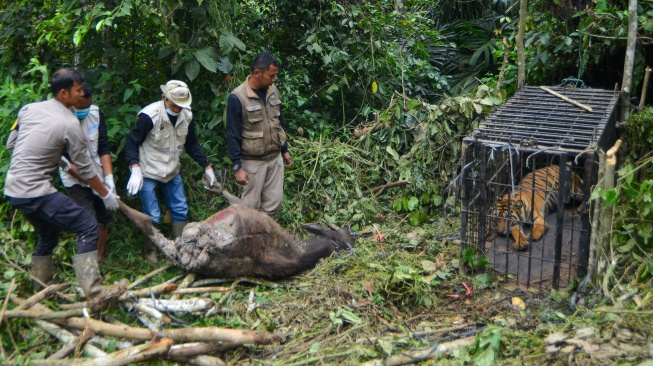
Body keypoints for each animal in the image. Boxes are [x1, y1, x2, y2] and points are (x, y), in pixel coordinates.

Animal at [114, 182, 354, 278]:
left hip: (191, 235)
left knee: (148, 223)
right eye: (344, 233)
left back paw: (112, 197)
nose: (352, 240)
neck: (300, 252)